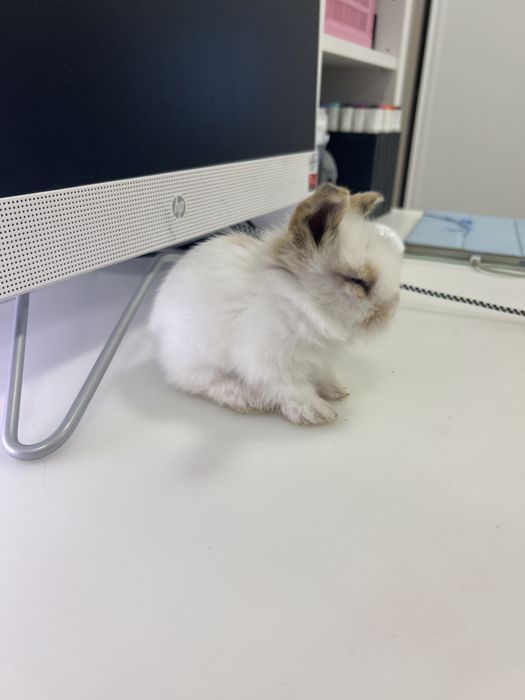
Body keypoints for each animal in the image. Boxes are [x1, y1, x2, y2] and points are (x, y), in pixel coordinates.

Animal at [149, 184, 404, 425]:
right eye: (357, 281)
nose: (391, 312)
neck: (301, 301)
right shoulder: (271, 366)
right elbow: (293, 391)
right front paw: (317, 413)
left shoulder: (319, 361)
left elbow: (322, 374)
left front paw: (336, 389)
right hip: (197, 358)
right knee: (199, 382)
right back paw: (245, 399)